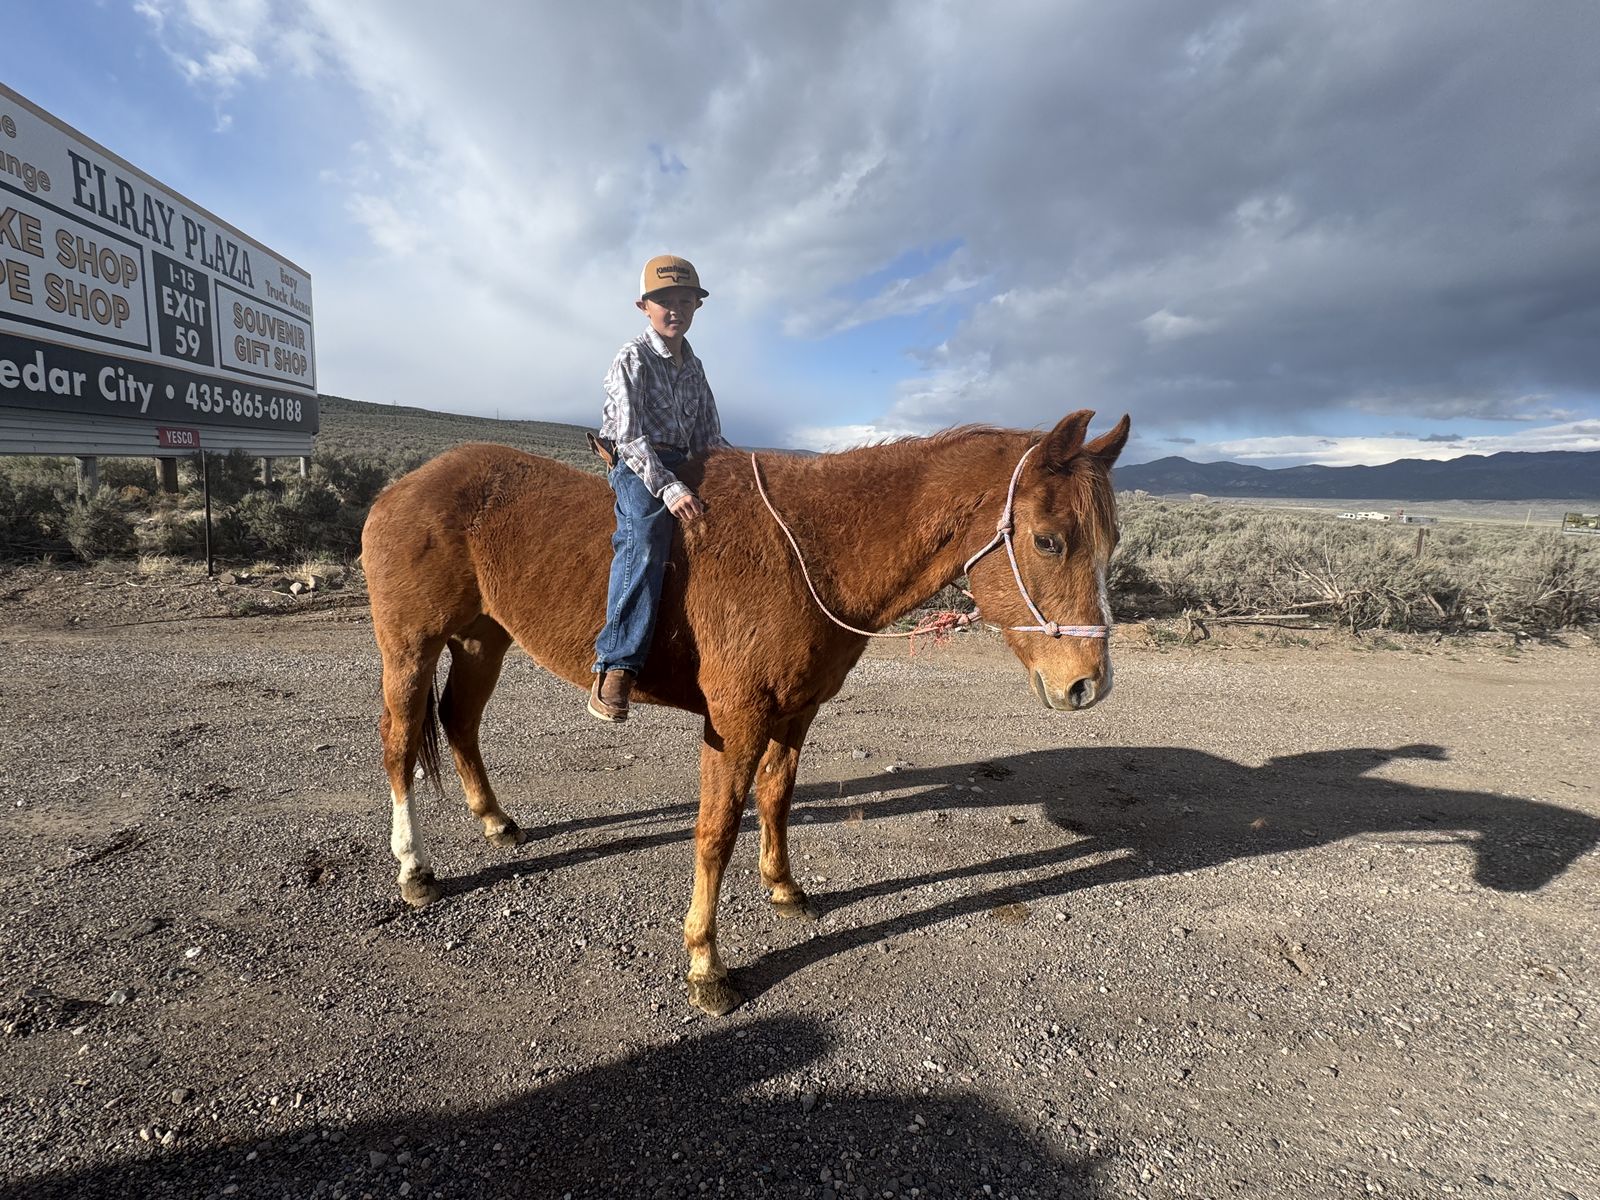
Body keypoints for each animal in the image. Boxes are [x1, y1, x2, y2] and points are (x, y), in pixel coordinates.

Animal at [360, 409, 1130, 1015]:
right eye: (1048, 539)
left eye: (1110, 543)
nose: (1088, 684)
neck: (808, 552)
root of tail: (402, 487)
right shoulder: (736, 721)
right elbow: (716, 833)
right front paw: (706, 963)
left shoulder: (795, 713)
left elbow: (777, 800)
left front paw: (784, 889)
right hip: (410, 647)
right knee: (399, 744)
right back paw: (415, 870)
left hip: (482, 640)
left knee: (460, 723)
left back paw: (495, 822)